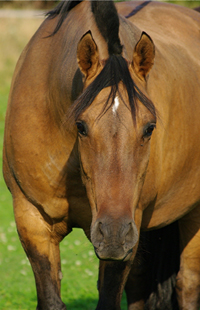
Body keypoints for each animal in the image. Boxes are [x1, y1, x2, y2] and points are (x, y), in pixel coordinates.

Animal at [3, 0, 200, 308]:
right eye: (81, 126)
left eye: (150, 128)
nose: (113, 234)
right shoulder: (31, 219)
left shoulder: (129, 227)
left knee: (187, 284)